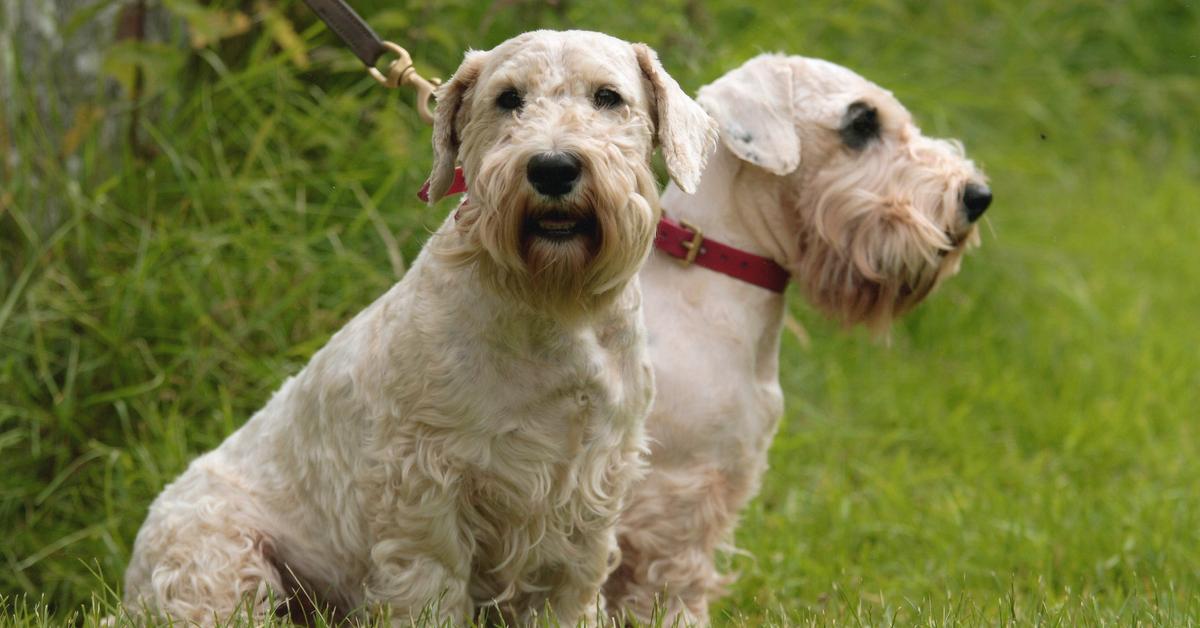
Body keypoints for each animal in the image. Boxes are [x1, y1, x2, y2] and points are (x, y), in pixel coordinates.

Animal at [125, 29, 715, 624]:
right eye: (508, 98)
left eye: (608, 97)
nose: (552, 168)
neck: (551, 308)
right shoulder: (426, 485)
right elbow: (430, 582)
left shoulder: (589, 490)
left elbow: (568, 589)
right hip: (218, 561)